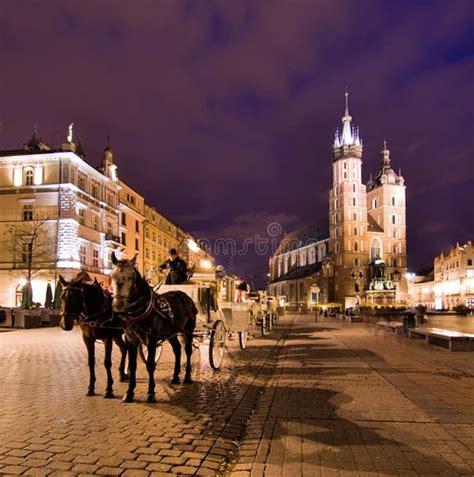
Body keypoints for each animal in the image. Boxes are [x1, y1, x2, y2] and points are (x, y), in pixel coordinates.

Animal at [110, 253, 197, 403]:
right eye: (112, 276)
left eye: (129, 277)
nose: (117, 306)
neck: (141, 309)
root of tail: (184, 295)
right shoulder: (131, 340)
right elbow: (132, 366)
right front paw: (129, 392)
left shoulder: (151, 340)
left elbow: (150, 365)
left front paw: (151, 392)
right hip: (172, 333)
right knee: (177, 350)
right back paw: (175, 376)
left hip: (188, 330)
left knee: (188, 350)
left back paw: (187, 376)